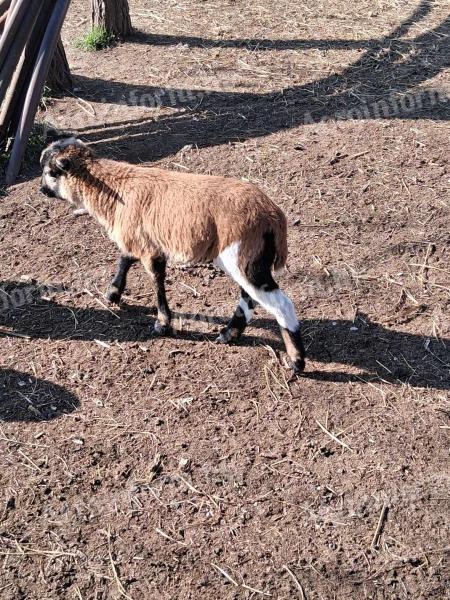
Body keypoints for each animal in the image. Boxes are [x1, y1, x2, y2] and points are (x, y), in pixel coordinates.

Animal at [40, 138, 306, 372]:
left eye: (51, 172)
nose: (42, 190)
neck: (115, 188)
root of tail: (274, 217)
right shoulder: (142, 239)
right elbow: (125, 258)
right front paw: (113, 293)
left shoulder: (148, 248)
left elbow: (156, 281)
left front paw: (162, 324)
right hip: (245, 260)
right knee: (249, 297)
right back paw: (229, 334)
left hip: (242, 256)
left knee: (280, 303)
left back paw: (296, 361)